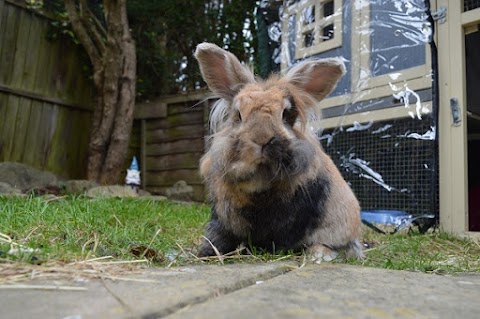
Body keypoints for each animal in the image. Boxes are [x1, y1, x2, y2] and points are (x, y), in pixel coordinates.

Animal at [193, 42, 362, 262]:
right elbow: (218, 236)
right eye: (238, 115)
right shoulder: (223, 217)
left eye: (286, 114)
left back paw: (317, 255)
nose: (262, 138)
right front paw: (205, 254)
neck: (259, 180)